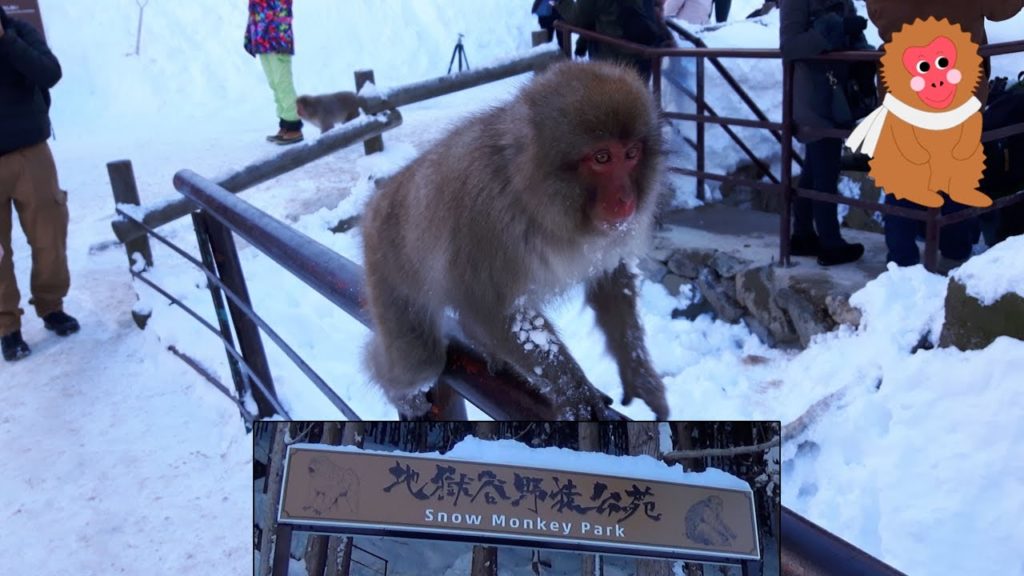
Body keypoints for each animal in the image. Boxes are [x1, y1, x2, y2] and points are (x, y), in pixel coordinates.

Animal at [360, 60, 670, 420]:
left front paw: (639, 375)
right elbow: (495, 309)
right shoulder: (488, 220)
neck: (530, 192)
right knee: (418, 360)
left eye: (631, 154)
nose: (625, 200)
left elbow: (610, 278)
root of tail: (378, 200)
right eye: (602, 158)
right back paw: (402, 393)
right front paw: (575, 392)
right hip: (386, 268)